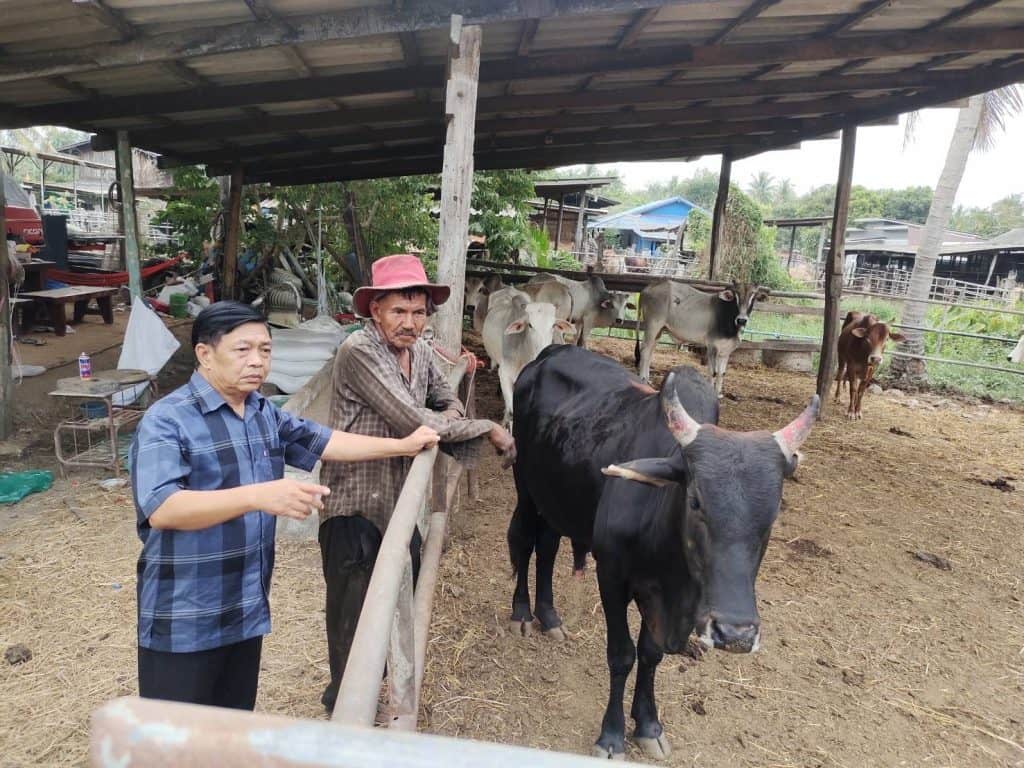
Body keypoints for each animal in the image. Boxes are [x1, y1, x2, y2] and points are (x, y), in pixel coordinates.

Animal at [507, 345, 817, 759]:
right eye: (696, 500)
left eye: (772, 513)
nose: (735, 633)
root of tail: (550, 352)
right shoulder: (612, 577)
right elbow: (622, 654)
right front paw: (611, 735)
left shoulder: (663, 600)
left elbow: (650, 654)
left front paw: (648, 724)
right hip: (525, 486)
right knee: (526, 542)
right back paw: (523, 613)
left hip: (556, 499)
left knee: (548, 546)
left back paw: (550, 616)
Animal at [634, 279, 769, 396]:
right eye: (736, 296)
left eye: (753, 296)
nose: (742, 320)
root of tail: (648, 288)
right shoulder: (712, 347)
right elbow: (713, 372)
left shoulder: (726, 351)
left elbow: (721, 373)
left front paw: (718, 394)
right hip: (653, 326)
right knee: (645, 350)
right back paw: (643, 379)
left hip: (659, 330)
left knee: (650, 351)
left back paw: (648, 379)